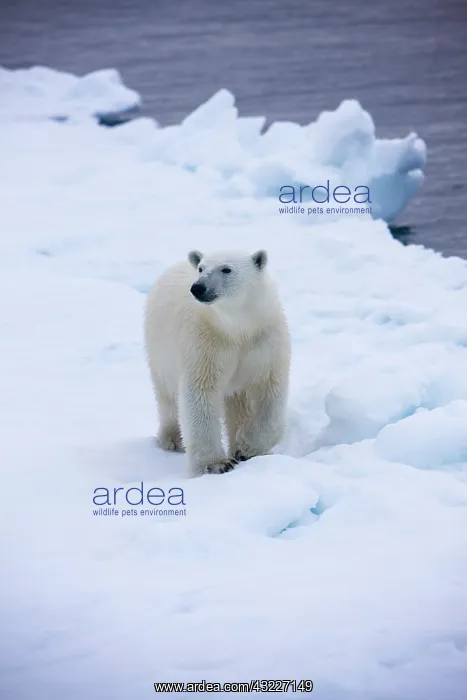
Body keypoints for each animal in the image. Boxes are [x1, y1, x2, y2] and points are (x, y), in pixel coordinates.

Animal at [144, 249, 291, 477]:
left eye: (226, 269)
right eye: (201, 268)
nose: (198, 287)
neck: (237, 327)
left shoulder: (264, 341)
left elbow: (269, 389)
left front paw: (247, 447)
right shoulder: (206, 344)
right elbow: (201, 392)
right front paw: (216, 464)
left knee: (240, 403)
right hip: (160, 351)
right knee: (167, 398)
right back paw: (173, 439)